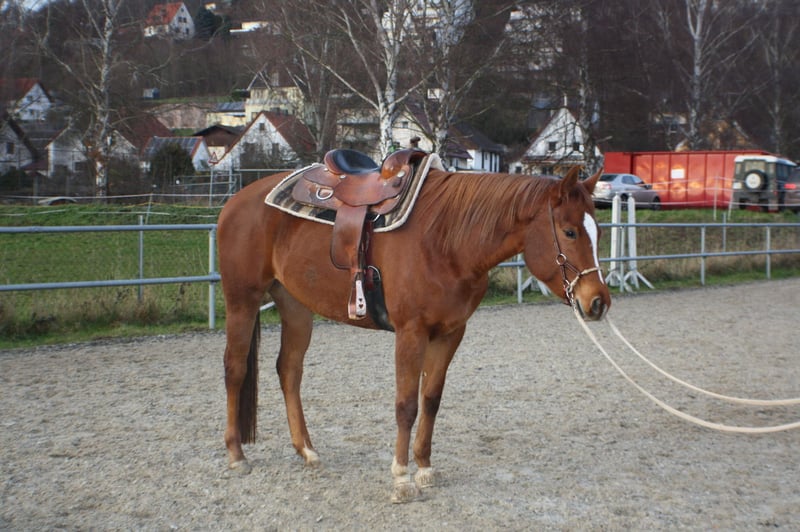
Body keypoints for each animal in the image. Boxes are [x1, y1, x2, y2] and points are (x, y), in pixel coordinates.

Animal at [216, 157, 611, 503]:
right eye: (570, 231)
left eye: (598, 231)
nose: (598, 302)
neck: (448, 240)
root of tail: (236, 200)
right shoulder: (411, 333)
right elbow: (406, 405)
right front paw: (402, 479)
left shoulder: (450, 333)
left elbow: (431, 400)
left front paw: (424, 468)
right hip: (242, 301)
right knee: (235, 369)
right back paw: (236, 455)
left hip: (295, 306)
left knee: (289, 370)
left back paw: (306, 449)